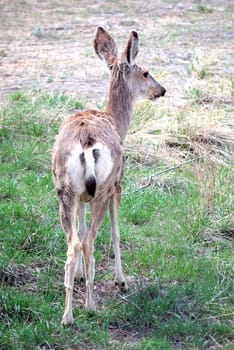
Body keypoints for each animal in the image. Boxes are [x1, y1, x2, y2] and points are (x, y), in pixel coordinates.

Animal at [52, 27, 165, 326]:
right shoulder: (118, 184)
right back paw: (90, 308)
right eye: (146, 72)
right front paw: (121, 281)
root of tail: (85, 141)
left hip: (64, 189)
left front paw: (80, 277)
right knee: (89, 241)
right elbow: (116, 232)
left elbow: (80, 230)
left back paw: (67, 315)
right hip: (103, 188)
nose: (162, 90)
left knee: (73, 243)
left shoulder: (82, 196)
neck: (116, 121)